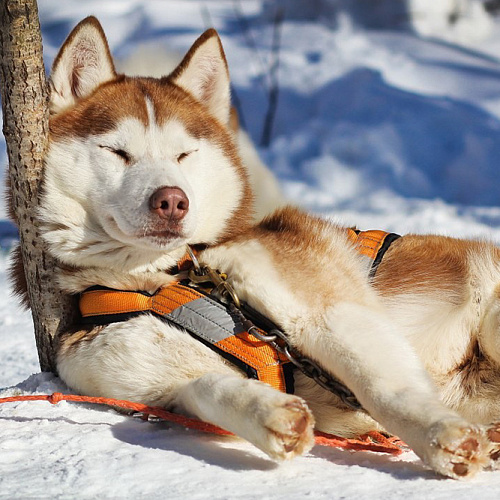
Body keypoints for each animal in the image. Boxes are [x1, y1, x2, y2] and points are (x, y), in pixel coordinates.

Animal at [12, 16, 500, 476]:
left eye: (184, 154)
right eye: (117, 152)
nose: (171, 200)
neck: (164, 278)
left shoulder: (330, 315)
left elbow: (385, 390)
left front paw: (441, 435)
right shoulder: (148, 386)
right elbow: (203, 388)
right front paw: (269, 414)